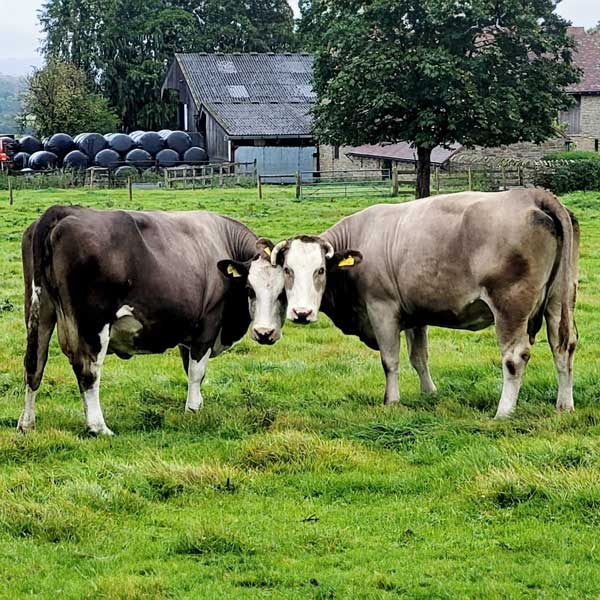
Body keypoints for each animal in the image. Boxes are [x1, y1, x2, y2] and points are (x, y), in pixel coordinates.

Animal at [19, 204, 288, 434]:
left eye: (283, 292)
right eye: (249, 289)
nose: (264, 333)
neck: (222, 240)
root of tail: (62, 211)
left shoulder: (188, 332)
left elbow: (191, 370)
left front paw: (197, 404)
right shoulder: (208, 324)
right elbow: (196, 371)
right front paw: (193, 410)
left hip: (40, 310)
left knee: (35, 363)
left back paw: (27, 423)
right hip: (92, 325)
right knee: (87, 369)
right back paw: (98, 427)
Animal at [270, 188, 576, 418]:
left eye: (320, 270)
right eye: (287, 270)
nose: (301, 313)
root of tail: (530, 195)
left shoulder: (382, 309)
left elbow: (390, 360)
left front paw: (392, 401)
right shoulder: (414, 314)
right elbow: (419, 357)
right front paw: (429, 394)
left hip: (510, 306)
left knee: (515, 357)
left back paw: (504, 412)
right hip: (559, 301)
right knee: (563, 347)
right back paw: (564, 405)